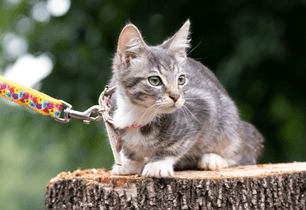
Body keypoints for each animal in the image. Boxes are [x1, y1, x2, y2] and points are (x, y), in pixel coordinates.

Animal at [107, 19, 262, 177]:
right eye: (155, 80)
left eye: (181, 79)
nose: (175, 96)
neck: (138, 113)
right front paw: (128, 162)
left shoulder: (203, 106)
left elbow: (177, 145)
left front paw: (158, 164)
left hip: (228, 122)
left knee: (240, 152)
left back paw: (213, 159)